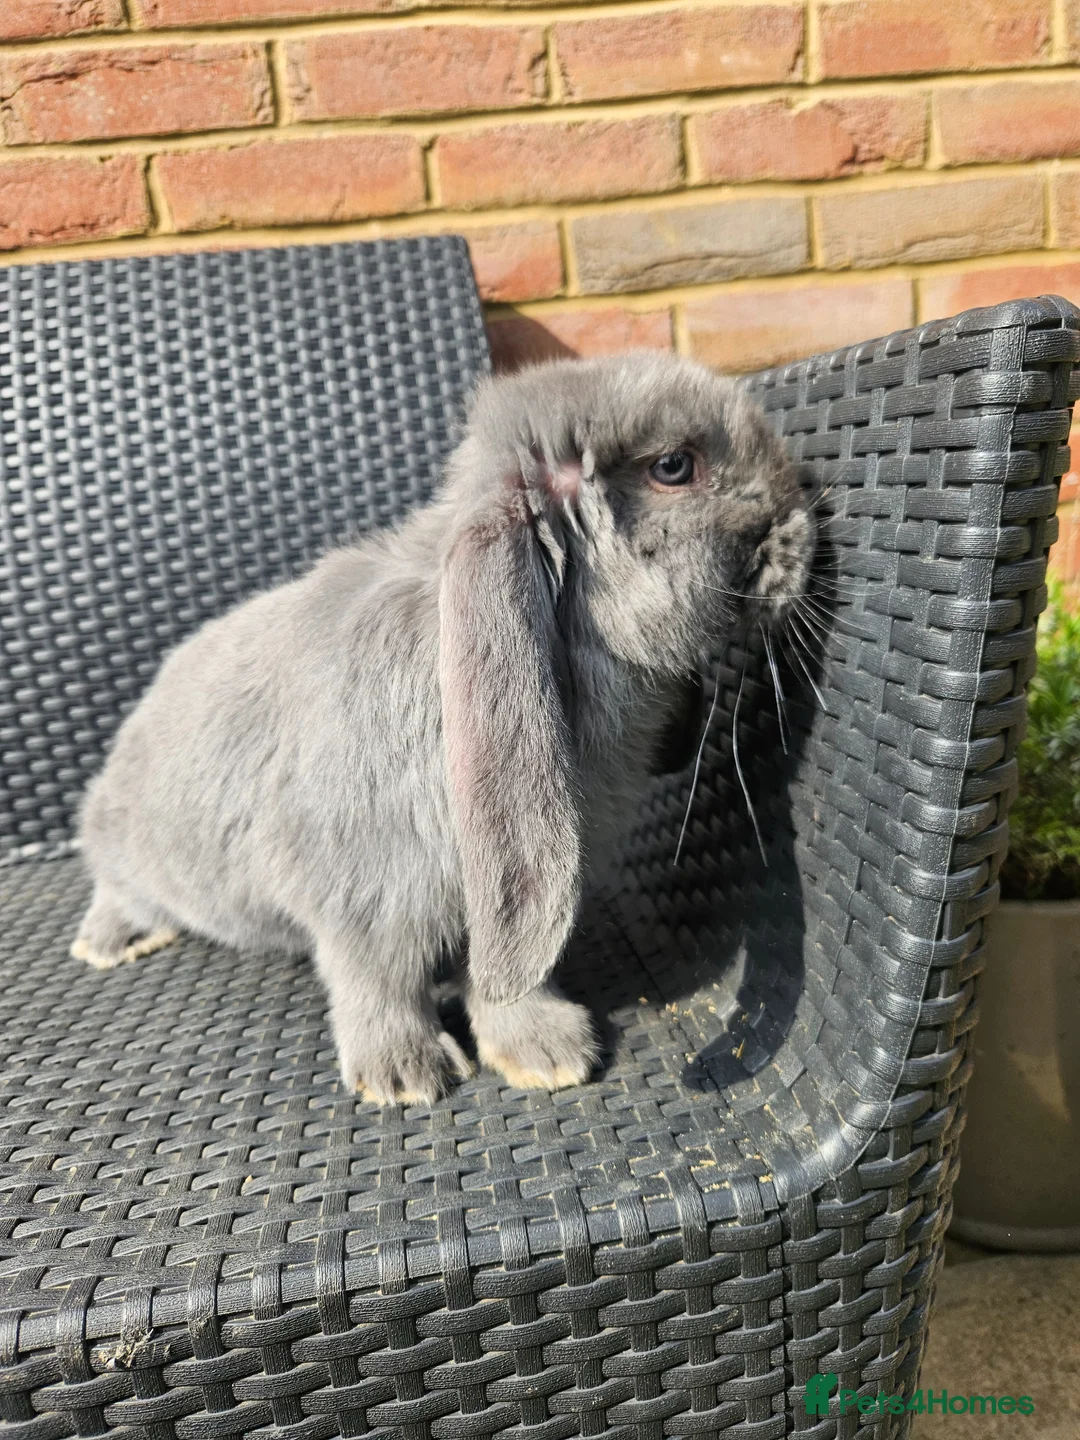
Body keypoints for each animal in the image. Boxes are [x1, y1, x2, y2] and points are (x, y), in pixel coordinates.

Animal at [71, 350, 814, 1104]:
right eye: (673, 466)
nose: (803, 522)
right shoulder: (361, 897)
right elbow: (377, 983)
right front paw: (403, 1076)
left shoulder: (499, 892)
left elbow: (504, 976)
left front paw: (547, 1054)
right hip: (128, 856)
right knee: (116, 890)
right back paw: (108, 943)